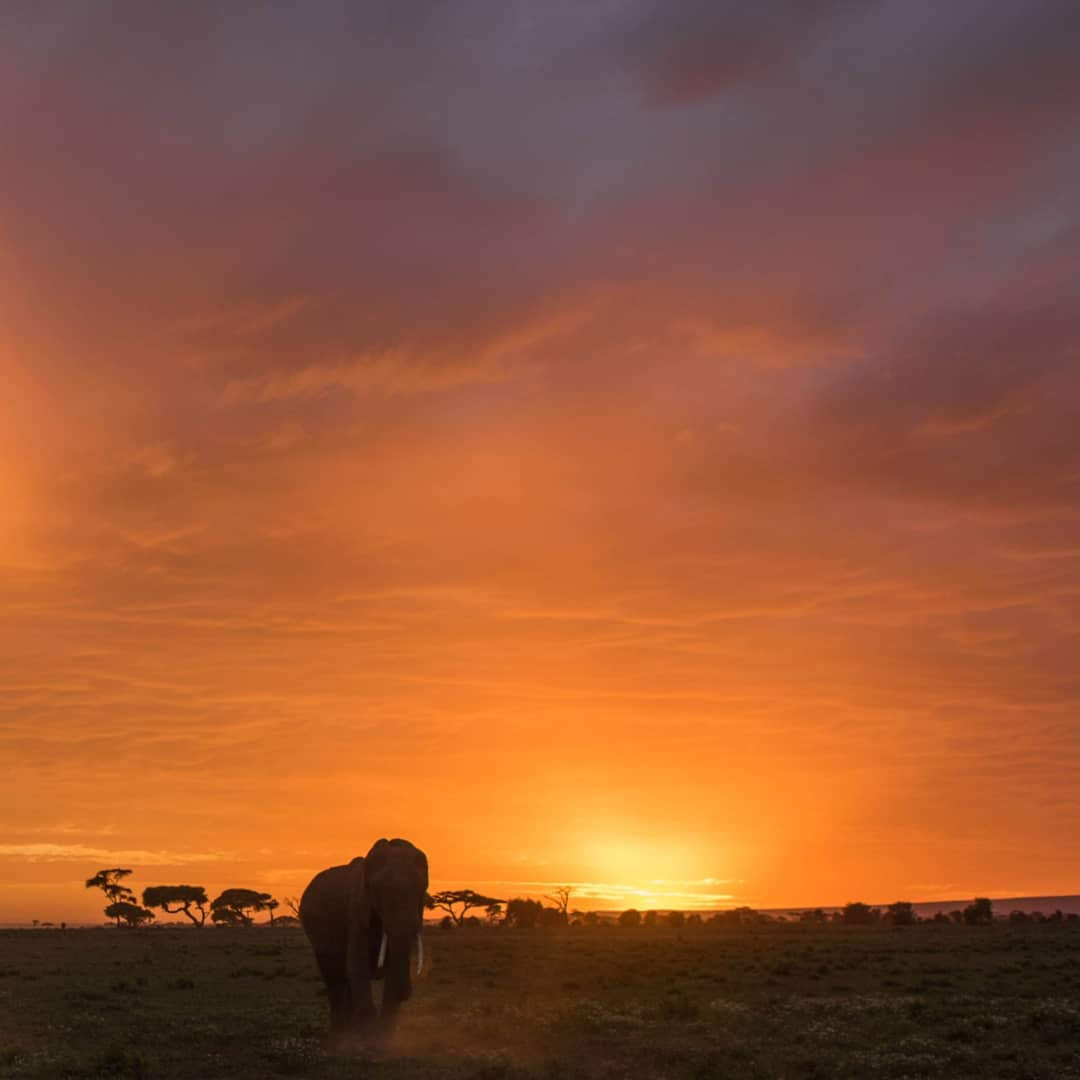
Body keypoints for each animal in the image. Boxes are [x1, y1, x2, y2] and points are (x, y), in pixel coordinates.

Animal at [300, 833, 429, 1045]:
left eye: (422, 889)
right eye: (377, 889)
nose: (406, 994)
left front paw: (384, 1037)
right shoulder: (356, 913)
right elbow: (357, 968)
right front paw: (368, 1037)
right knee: (334, 978)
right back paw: (339, 1035)